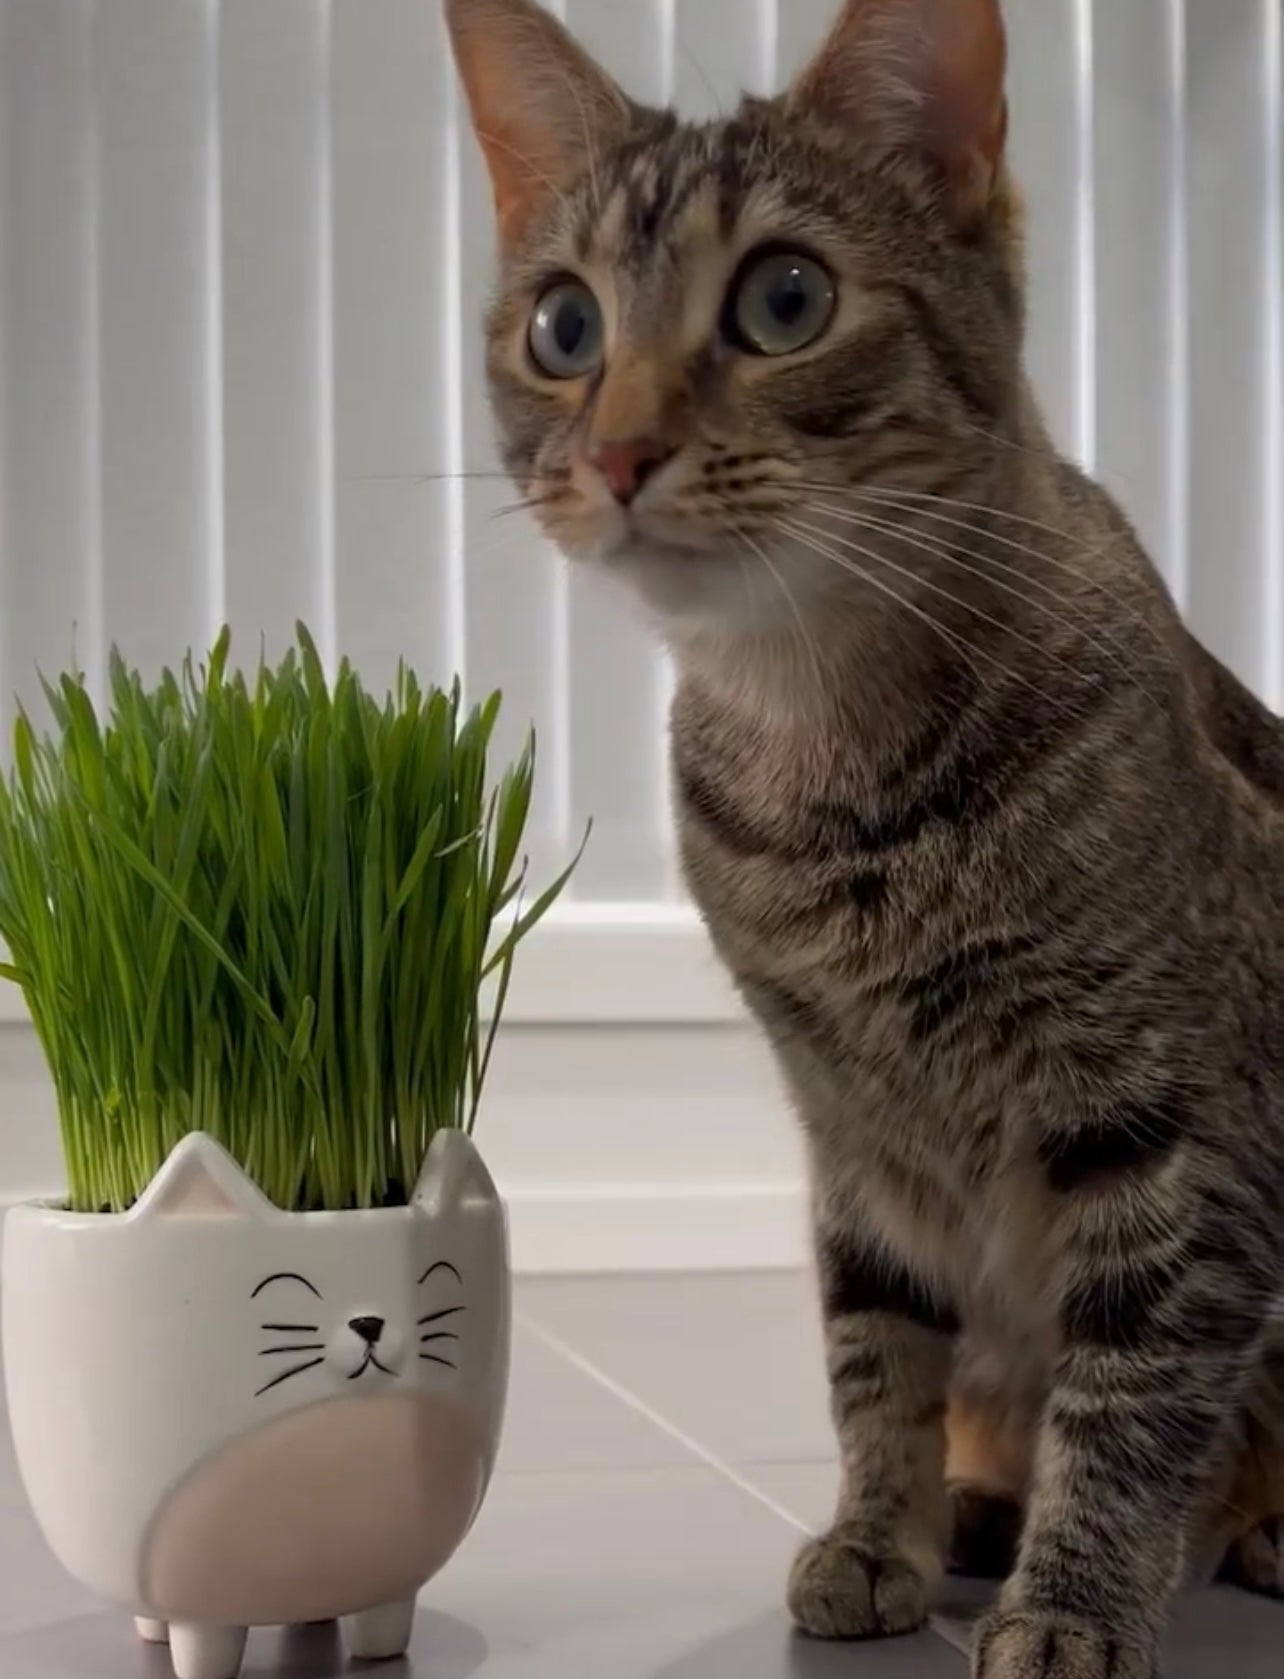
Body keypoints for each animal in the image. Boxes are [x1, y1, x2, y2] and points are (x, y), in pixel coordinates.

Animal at [443, 3, 1282, 1679]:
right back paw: (979, 1507)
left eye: (785, 298)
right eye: (564, 328)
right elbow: (875, 1350)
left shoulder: (1172, 1127)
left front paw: (1079, 1598)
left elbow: (1138, 1384)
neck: (829, 779)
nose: (618, 452)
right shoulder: (854, 1132)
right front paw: (883, 1527)